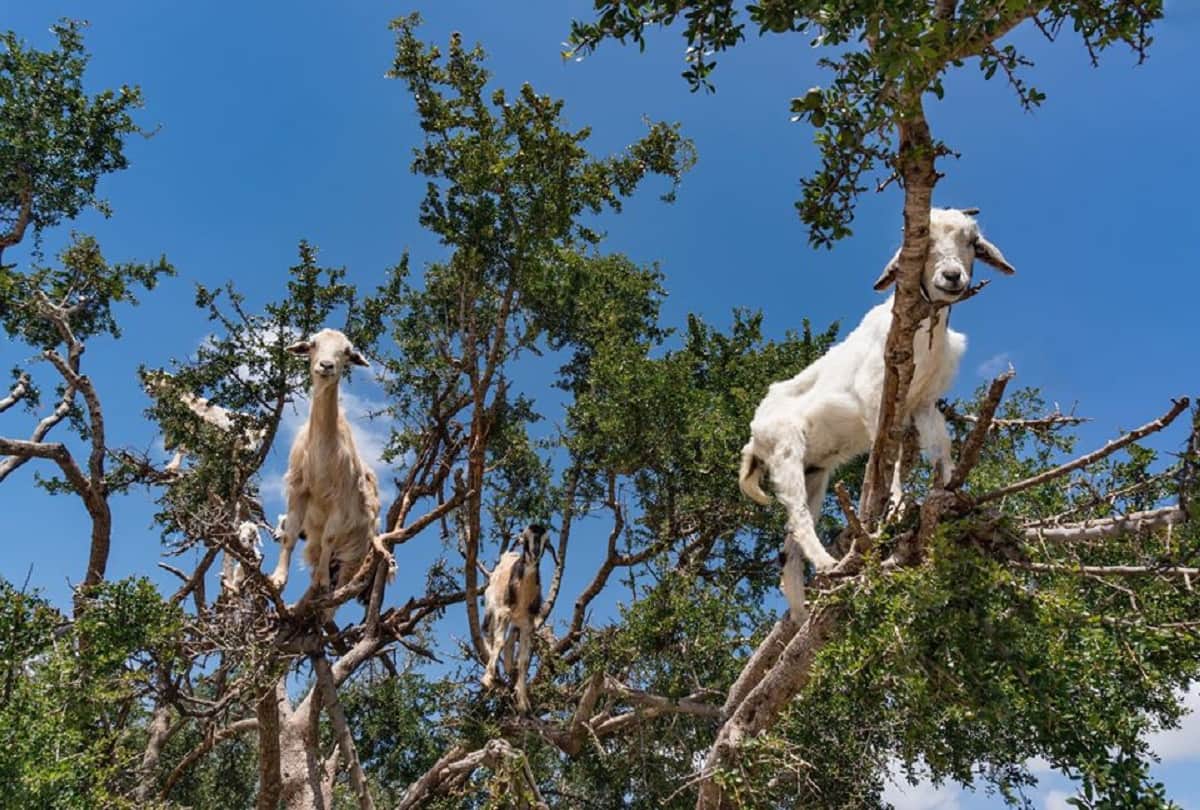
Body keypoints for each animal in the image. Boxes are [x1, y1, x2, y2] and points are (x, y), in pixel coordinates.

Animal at [269, 328, 392, 596]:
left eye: (346, 352)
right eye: (313, 344)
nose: (326, 366)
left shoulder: (340, 501)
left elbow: (329, 537)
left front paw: (323, 582)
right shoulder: (299, 489)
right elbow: (290, 534)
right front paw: (278, 578)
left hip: (356, 547)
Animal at [481, 524, 557, 713]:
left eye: (546, 542)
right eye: (524, 539)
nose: (535, 554)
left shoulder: (527, 623)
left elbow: (523, 659)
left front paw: (523, 701)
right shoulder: (503, 612)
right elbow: (499, 641)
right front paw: (487, 679)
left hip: (514, 622)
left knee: (509, 640)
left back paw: (508, 665)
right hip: (491, 606)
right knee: (489, 633)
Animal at [739, 208, 1015, 620]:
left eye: (972, 241)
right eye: (923, 240)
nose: (952, 277)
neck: (923, 336)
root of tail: (754, 437)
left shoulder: (924, 402)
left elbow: (940, 446)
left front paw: (951, 491)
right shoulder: (877, 398)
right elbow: (890, 453)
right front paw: (897, 504)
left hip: (814, 472)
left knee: (789, 547)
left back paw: (805, 606)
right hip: (785, 450)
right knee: (798, 516)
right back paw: (827, 564)